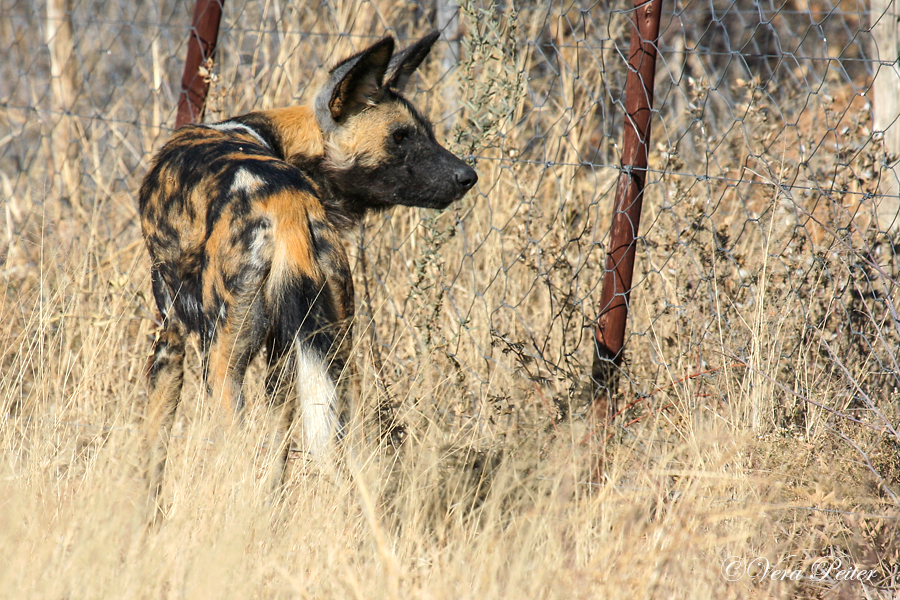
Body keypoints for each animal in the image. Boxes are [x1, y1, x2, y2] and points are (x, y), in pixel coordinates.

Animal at [141, 31, 478, 496]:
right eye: (402, 137)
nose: (468, 175)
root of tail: (289, 204)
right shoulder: (285, 354)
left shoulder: (169, 335)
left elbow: (152, 454)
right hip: (332, 355)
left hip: (222, 366)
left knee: (235, 454)